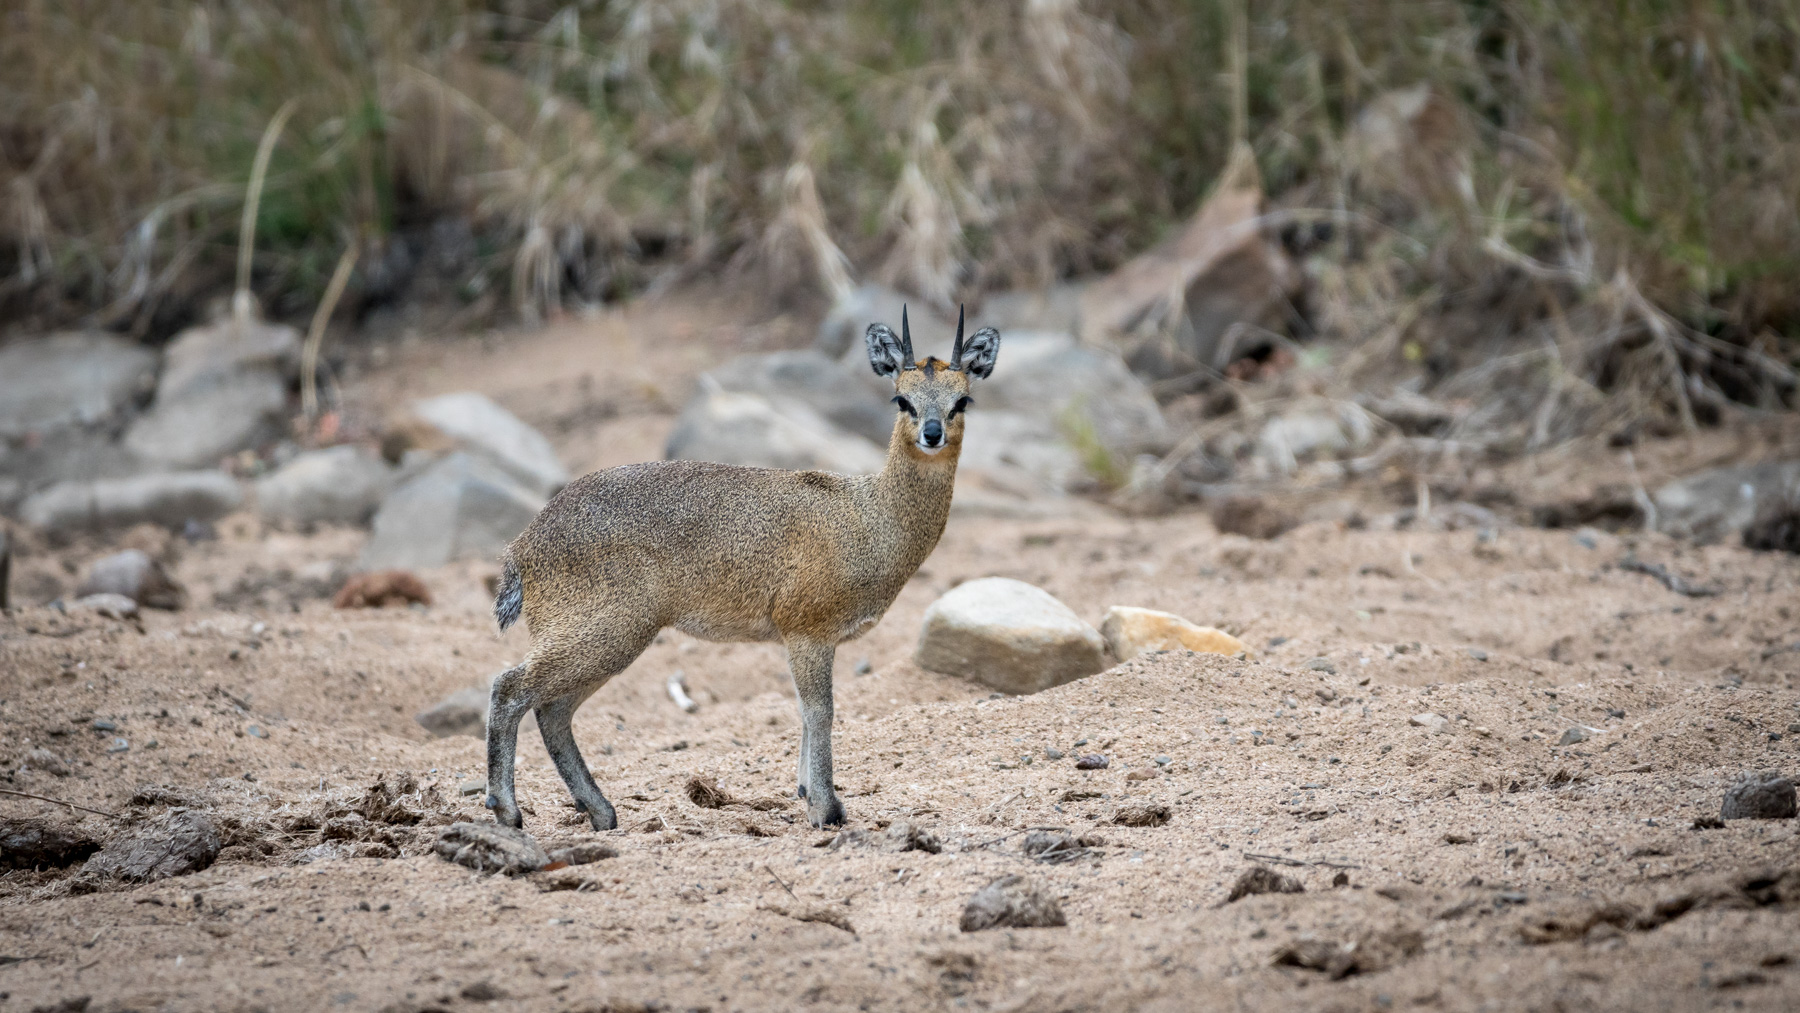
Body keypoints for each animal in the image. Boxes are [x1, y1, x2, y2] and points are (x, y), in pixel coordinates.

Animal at [486, 305, 1008, 827]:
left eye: (963, 400)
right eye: (902, 398)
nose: (932, 433)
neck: (870, 516)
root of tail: (522, 546)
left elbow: (804, 710)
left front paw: (806, 792)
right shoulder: (808, 631)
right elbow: (820, 709)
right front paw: (827, 808)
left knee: (551, 710)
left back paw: (601, 812)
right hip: (604, 630)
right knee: (509, 687)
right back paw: (508, 810)